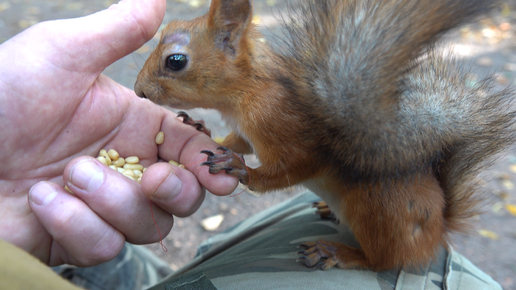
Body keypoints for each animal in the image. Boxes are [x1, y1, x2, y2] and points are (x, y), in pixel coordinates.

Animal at [134, 0, 516, 272]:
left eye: (176, 61)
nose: (138, 92)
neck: (246, 91)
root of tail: (438, 230)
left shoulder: (282, 124)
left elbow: (295, 166)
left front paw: (241, 169)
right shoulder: (246, 130)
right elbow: (238, 141)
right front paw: (201, 128)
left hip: (378, 210)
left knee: (384, 261)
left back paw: (339, 252)